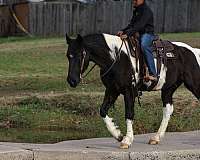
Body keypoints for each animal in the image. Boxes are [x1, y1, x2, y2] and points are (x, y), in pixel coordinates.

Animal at [65, 33, 200, 149]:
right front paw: (118, 134)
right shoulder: (112, 90)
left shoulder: (129, 91)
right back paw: (156, 138)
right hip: (168, 88)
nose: (71, 80)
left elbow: (129, 114)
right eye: (68, 55)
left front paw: (127, 140)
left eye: (80, 54)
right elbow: (103, 110)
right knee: (167, 110)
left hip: (193, 84)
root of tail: (193, 51)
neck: (117, 57)